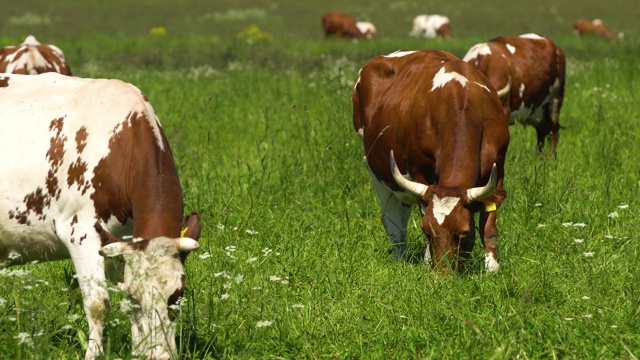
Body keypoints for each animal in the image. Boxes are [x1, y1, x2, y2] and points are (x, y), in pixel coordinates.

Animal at [0, 71, 200, 358]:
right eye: (138, 297)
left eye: (177, 295)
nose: (159, 355)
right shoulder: (81, 232)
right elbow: (98, 303)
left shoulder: (123, 241)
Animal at [350, 49, 510, 272]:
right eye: (427, 230)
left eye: (463, 232)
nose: (442, 275)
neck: (463, 99)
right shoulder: (419, 172)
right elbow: (423, 214)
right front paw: (427, 263)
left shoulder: (499, 168)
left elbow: (489, 226)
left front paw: (492, 269)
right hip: (376, 171)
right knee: (392, 219)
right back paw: (398, 256)